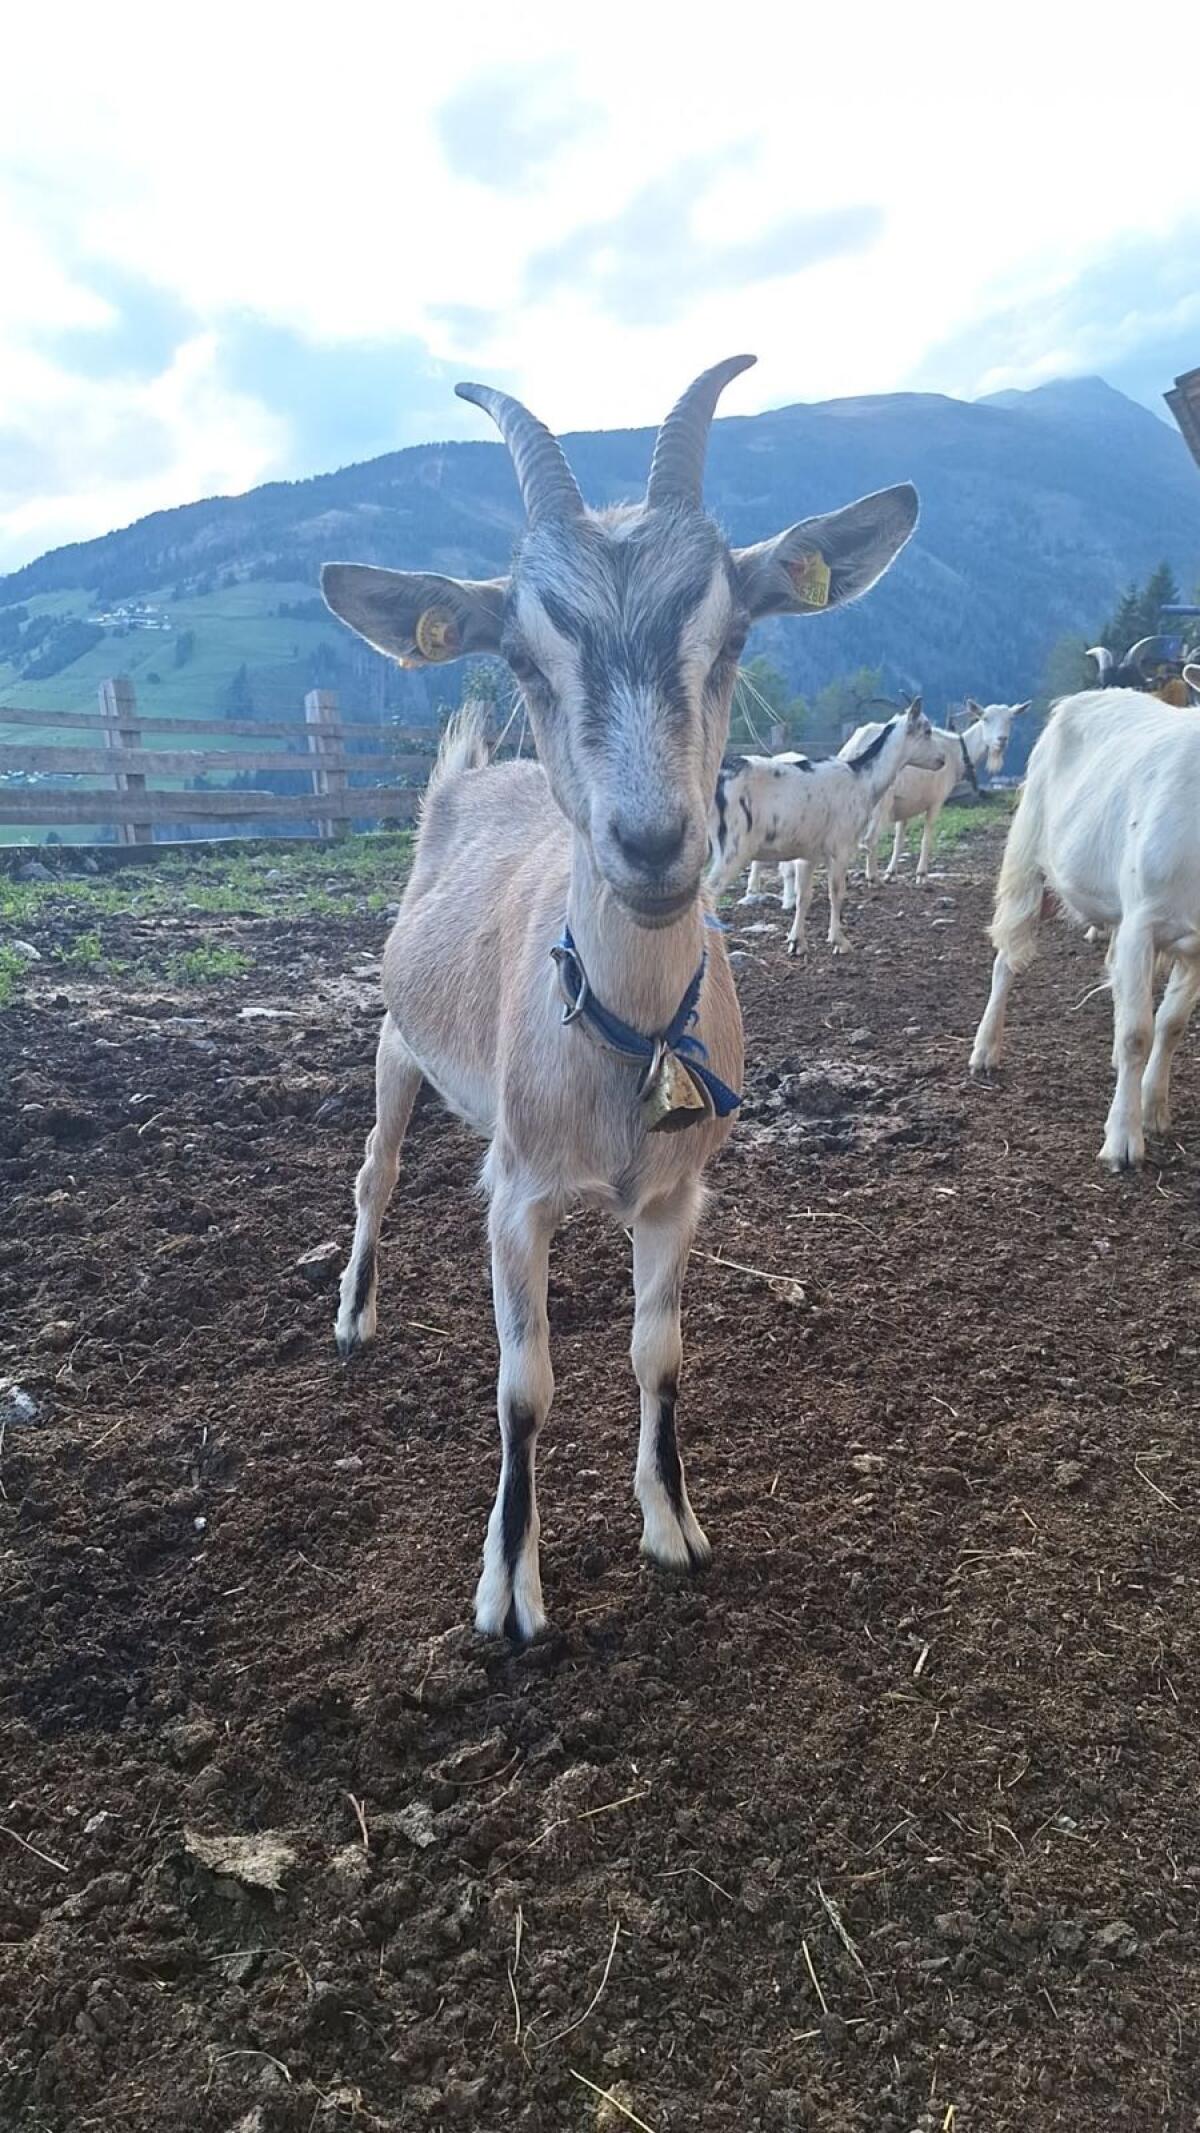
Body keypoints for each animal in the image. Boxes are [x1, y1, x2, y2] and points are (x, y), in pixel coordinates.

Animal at [320, 358, 918, 1639]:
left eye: (735, 631)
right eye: (522, 656)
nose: (650, 844)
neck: (622, 1035)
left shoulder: (677, 1197)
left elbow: (659, 1355)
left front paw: (672, 1523)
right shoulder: (522, 1196)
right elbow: (524, 1384)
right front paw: (510, 1586)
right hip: (395, 1039)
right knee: (375, 1173)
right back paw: (354, 1312)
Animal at [709, 702, 943, 957]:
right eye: (927, 730)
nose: (942, 760)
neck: (864, 781)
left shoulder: (807, 852)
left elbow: (804, 896)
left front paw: (797, 942)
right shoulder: (841, 845)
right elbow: (837, 892)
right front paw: (840, 942)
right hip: (733, 847)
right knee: (707, 895)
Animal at [841, 698, 1029, 884]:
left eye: (1011, 719)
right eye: (985, 718)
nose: (1001, 740)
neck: (956, 752)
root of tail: (853, 750)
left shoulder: (905, 804)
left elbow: (899, 839)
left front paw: (891, 873)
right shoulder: (936, 800)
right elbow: (927, 836)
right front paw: (921, 874)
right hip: (881, 803)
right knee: (869, 839)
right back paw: (872, 876)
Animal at [970, 687, 1200, 1170]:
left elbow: (1170, 1025)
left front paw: (1153, 1109)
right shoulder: (1143, 921)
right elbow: (1137, 1034)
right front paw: (1124, 1141)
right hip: (1030, 858)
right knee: (1007, 958)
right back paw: (985, 1051)